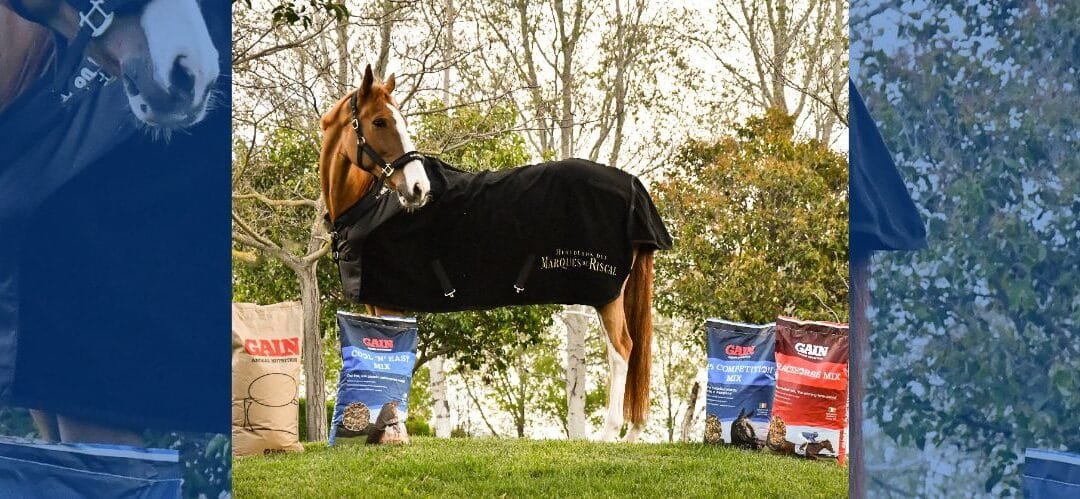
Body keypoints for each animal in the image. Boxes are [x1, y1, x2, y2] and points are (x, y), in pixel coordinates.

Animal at [319, 65, 669, 442]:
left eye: (394, 120)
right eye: (380, 121)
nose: (418, 188)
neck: (368, 211)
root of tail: (634, 188)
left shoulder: (389, 304)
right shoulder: (376, 303)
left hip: (607, 293)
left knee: (622, 350)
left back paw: (610, 435)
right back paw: (632, 434)